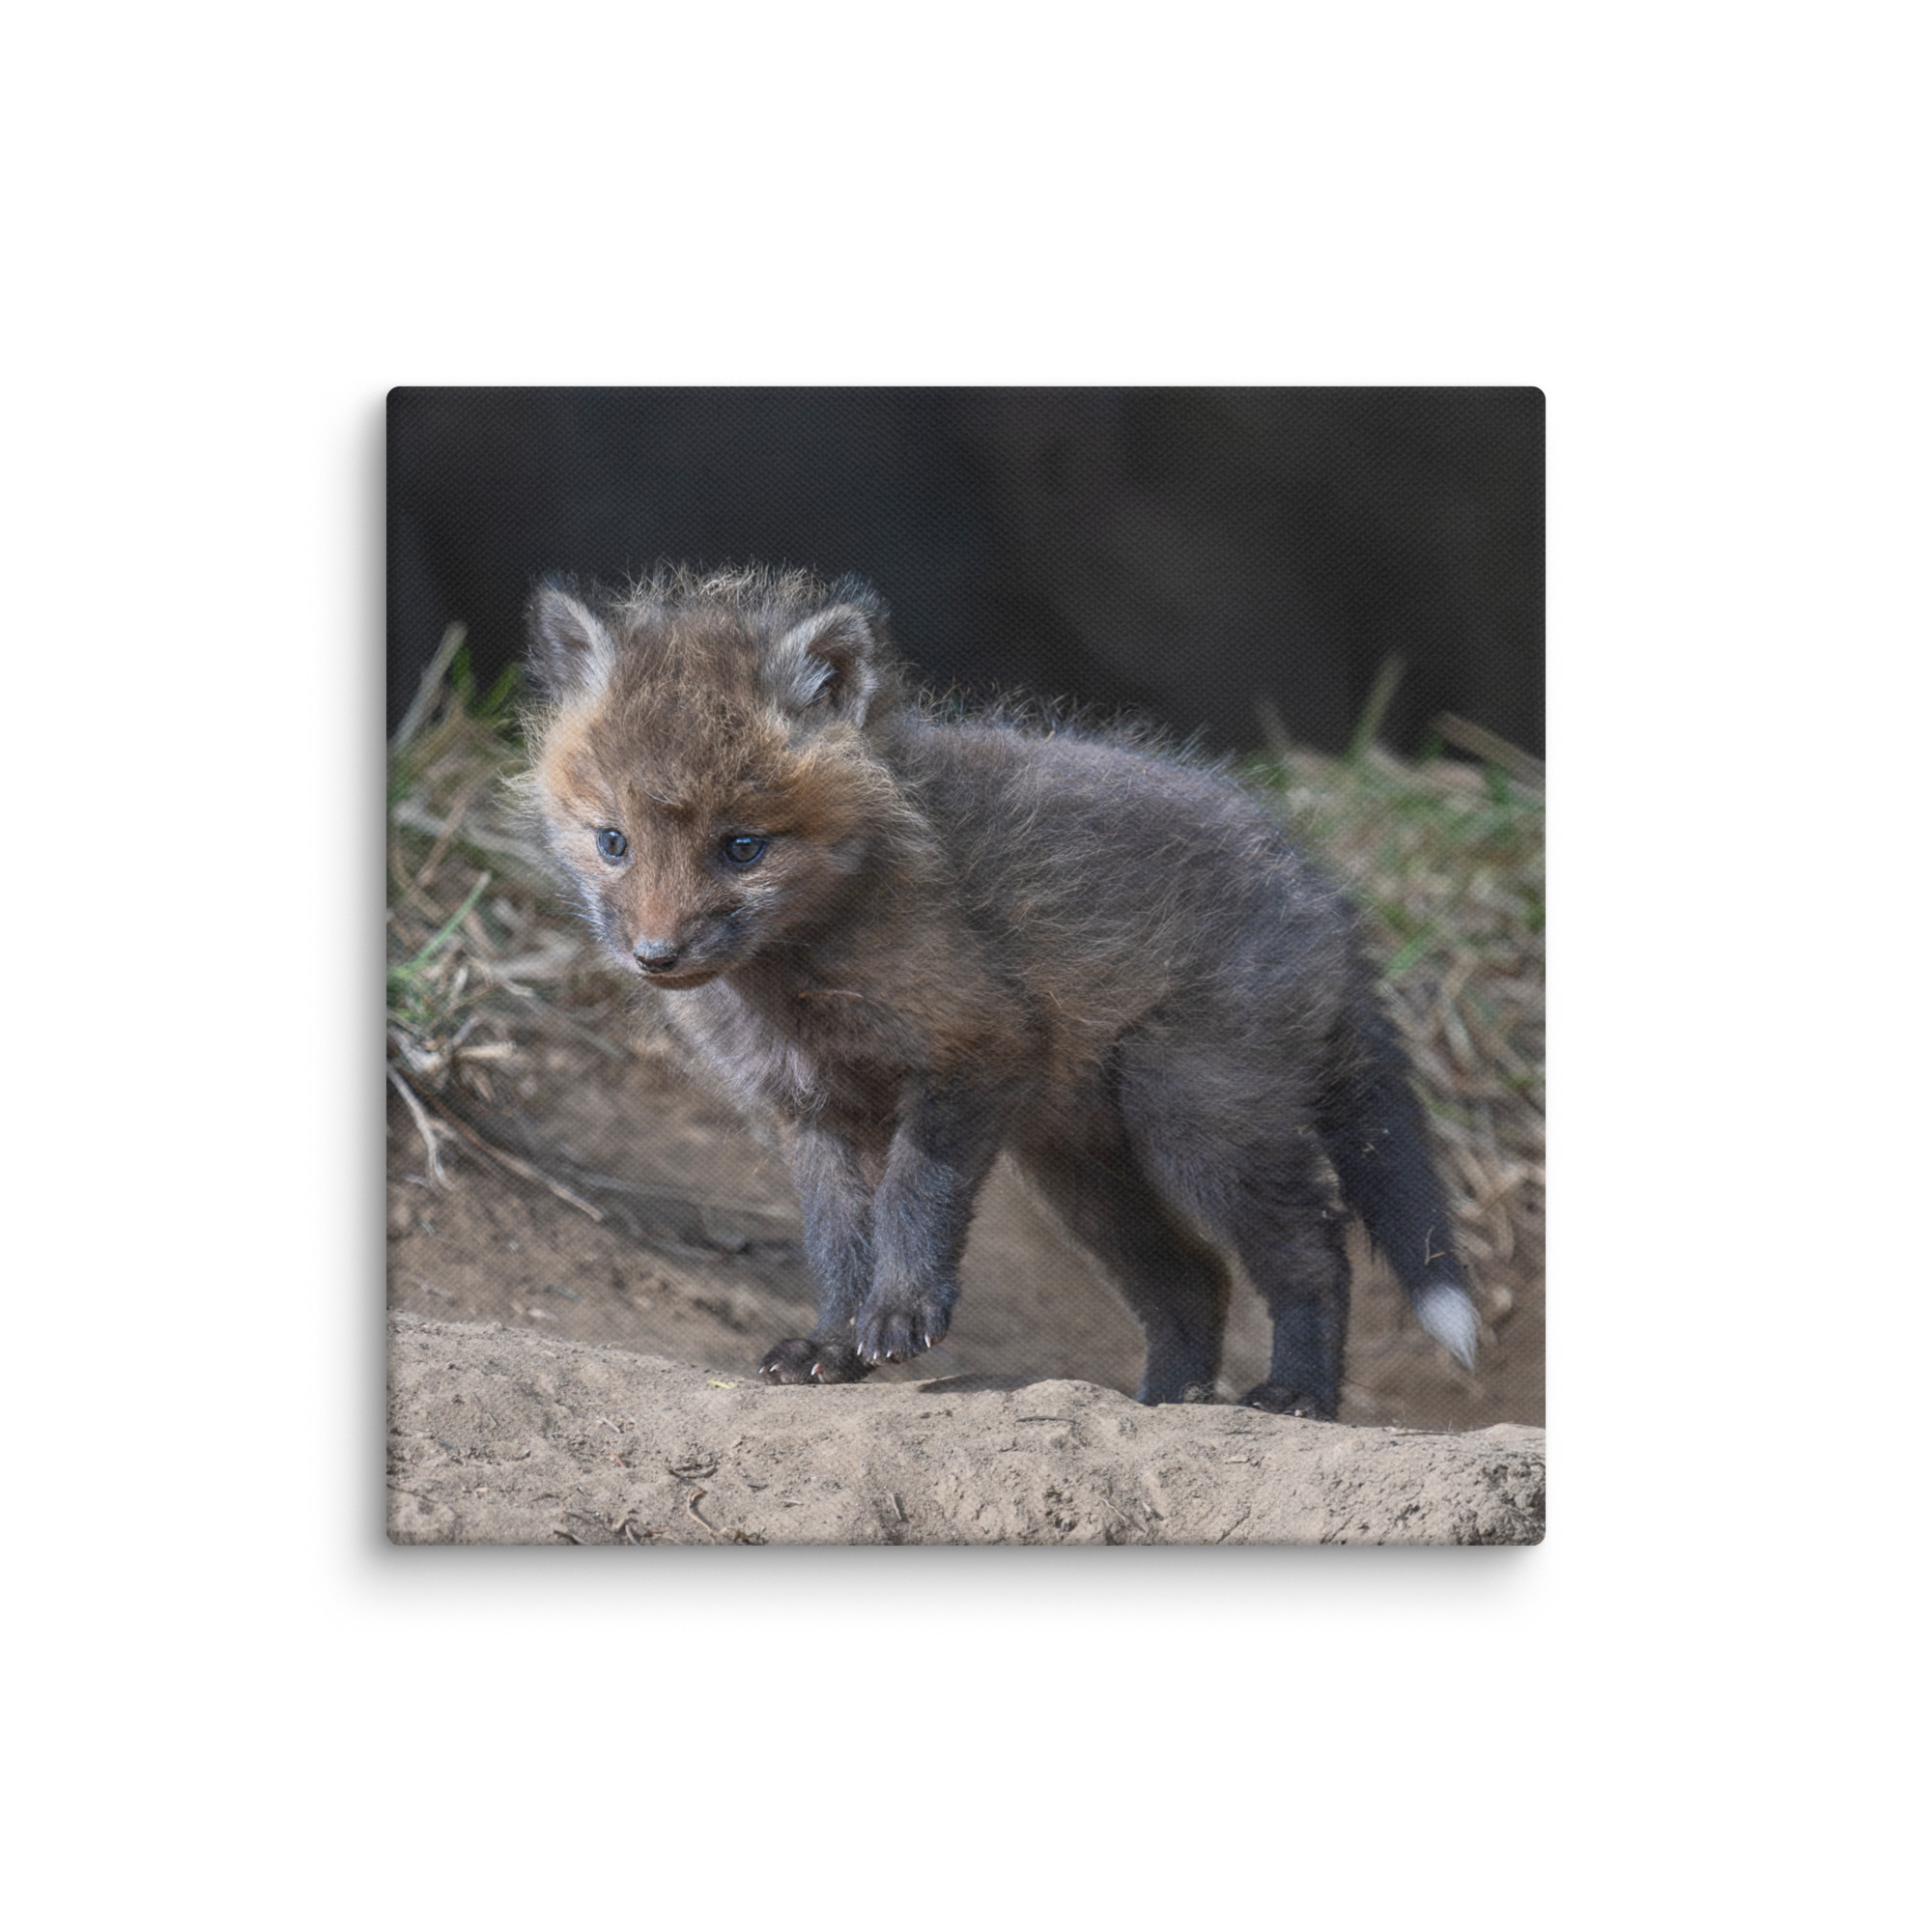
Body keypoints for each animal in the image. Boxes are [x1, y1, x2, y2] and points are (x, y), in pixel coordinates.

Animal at [522, 565, 1480, 1419]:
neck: (797, 984)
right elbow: (836, 1244)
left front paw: (901, 1314)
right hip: (1083, 1169)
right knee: (1194, 1280)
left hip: (1198, 1120)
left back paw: (1297, 1395)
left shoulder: (975, 1047)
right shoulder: (812, 1110)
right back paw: (1165, 1403)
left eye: (742, 847)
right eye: (613, 842)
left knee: (1314, 1250)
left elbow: (913, 1197)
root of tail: (1324, 894)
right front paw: (833, 1345)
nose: (655, 956)